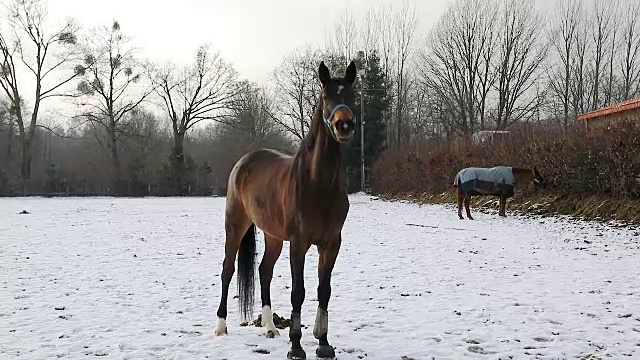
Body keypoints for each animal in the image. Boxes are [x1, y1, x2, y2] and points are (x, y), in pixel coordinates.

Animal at [214, 60, 356, 358]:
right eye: (325, 96)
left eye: (353, 96)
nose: (344, 125)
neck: (318, 184)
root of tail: (244, 162)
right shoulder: (299, 243)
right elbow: (298, 292)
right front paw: (296, 347)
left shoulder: (331, 244)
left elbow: (324, 290)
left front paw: (323, 343)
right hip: (235, 226)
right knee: (227, 270)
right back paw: (221, 326)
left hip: (273, 236)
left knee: (264, 271)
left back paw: (269, 327)